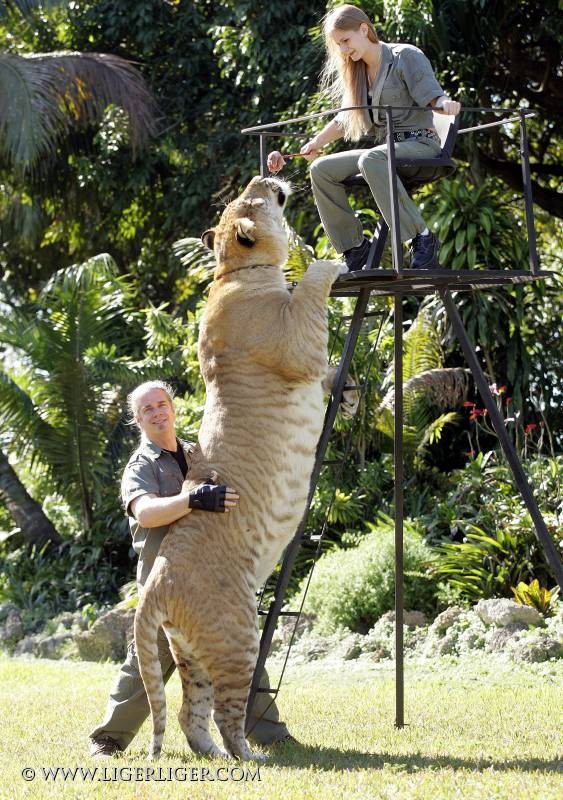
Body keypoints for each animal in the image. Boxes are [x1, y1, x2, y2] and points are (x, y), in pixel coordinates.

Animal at [134, 175, 348, 761]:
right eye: (259, 199)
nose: (266, 177)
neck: (233, 272)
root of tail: (154, 587)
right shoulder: (297, 345)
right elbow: (312, 293)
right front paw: (334, 258)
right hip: (236, 633)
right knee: (228, 714)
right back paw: (252, 757)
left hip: (189, 649)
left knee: (190, 711)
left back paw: (210, 755)